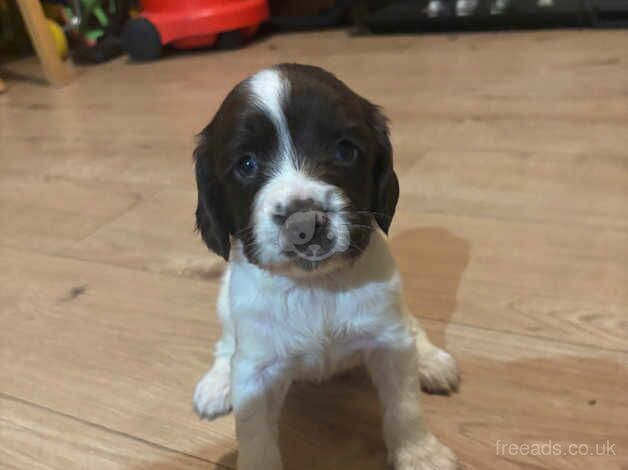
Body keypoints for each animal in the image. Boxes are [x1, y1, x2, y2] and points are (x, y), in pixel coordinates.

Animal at [189, 63, 458, 470]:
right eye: (246, 164)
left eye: (345, 150)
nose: (304, 224)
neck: (315, 286)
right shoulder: (256, 371)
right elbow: (255, 435)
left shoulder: (389, 341)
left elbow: (404, 407)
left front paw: (420, 455)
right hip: (224, 306)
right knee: (225, 344)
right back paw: (217, 383)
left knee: (413, 326)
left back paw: (430, 360)